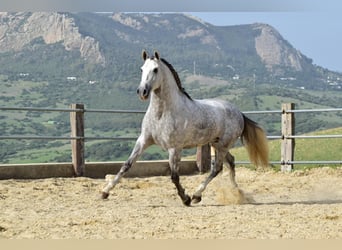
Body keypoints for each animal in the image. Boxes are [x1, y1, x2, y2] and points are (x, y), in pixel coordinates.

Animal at [102, 49, 270, 206]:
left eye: (155, 69)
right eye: (141, 69)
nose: (142, 92)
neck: (161, 114)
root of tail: (239, 112)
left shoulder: (174, 148)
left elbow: (174, 176)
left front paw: (185, 198)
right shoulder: (143, 141)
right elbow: (126, 165)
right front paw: (105, 192)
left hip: (222, 145)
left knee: (217, 168)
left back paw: (197, 195)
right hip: (216, 144)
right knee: (231, 162)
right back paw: (236, 192)